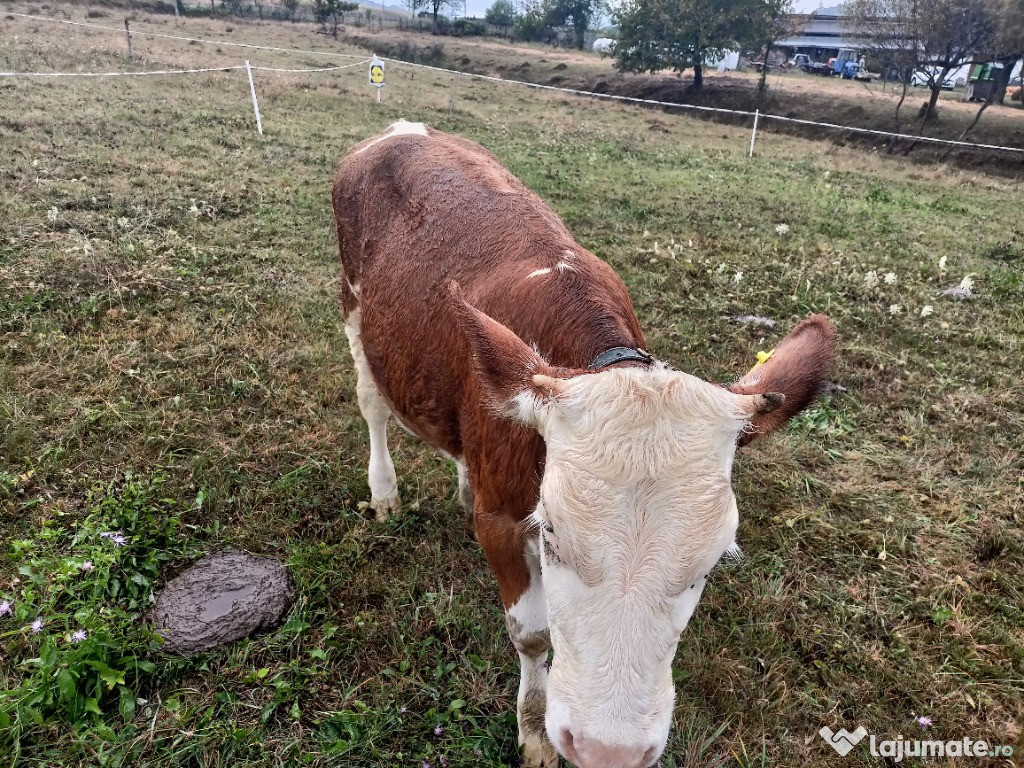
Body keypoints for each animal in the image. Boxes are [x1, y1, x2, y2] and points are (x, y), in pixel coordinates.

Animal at [331, 120, 835, 768]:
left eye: (713, 561)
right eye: (551, 535)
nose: (606, 751)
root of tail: (400, 130)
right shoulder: (504, 521)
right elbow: (531, 632)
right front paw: (536, 730)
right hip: (356, 310)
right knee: (371, 404)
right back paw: (384, 492)